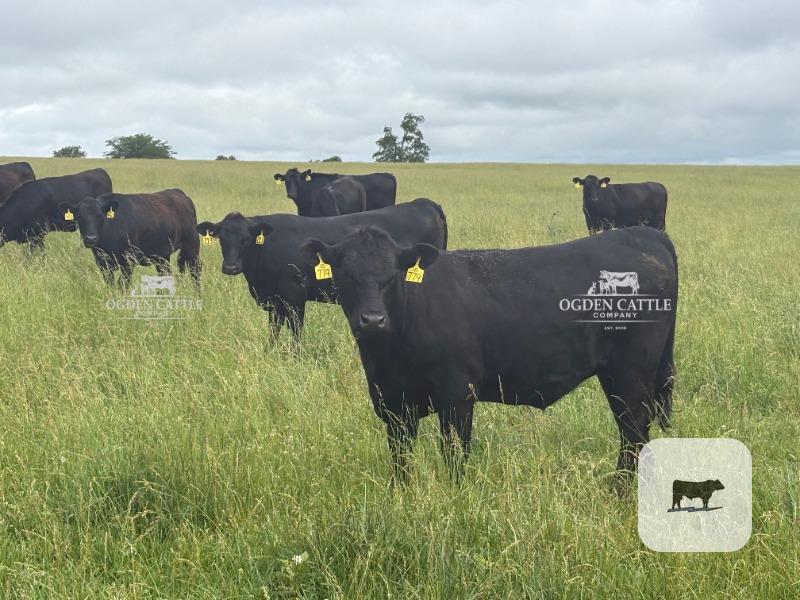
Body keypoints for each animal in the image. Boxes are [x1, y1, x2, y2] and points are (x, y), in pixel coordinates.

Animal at [59, 189, 200, 288]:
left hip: (192, 246)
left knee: (196, 271)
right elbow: (110, 283)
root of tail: (180, 193)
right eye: (79, 217)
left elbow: (122, 284)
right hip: (162, 255)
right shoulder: (103, 263)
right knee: (165, 273)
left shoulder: (128, 262)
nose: (91, 238)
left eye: (100, 216)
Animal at [197, 198, 447, 339]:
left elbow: (295, 332)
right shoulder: (275, 302)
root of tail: (422, 203)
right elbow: (274, 330)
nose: (231, 267)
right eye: (222, 238)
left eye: (246, 239)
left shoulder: (294, 296)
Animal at [301, 225, 677, 489]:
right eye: (345, 275)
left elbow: (454, 452)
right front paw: (401, 494)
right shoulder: (393, 403)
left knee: (633, 429)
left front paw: (455, 497)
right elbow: (400, 456)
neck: (387, 356)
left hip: (631, 372)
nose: (373, 320)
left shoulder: (456, 394)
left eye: (392, 275)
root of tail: (644, 234)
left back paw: (620, 491)